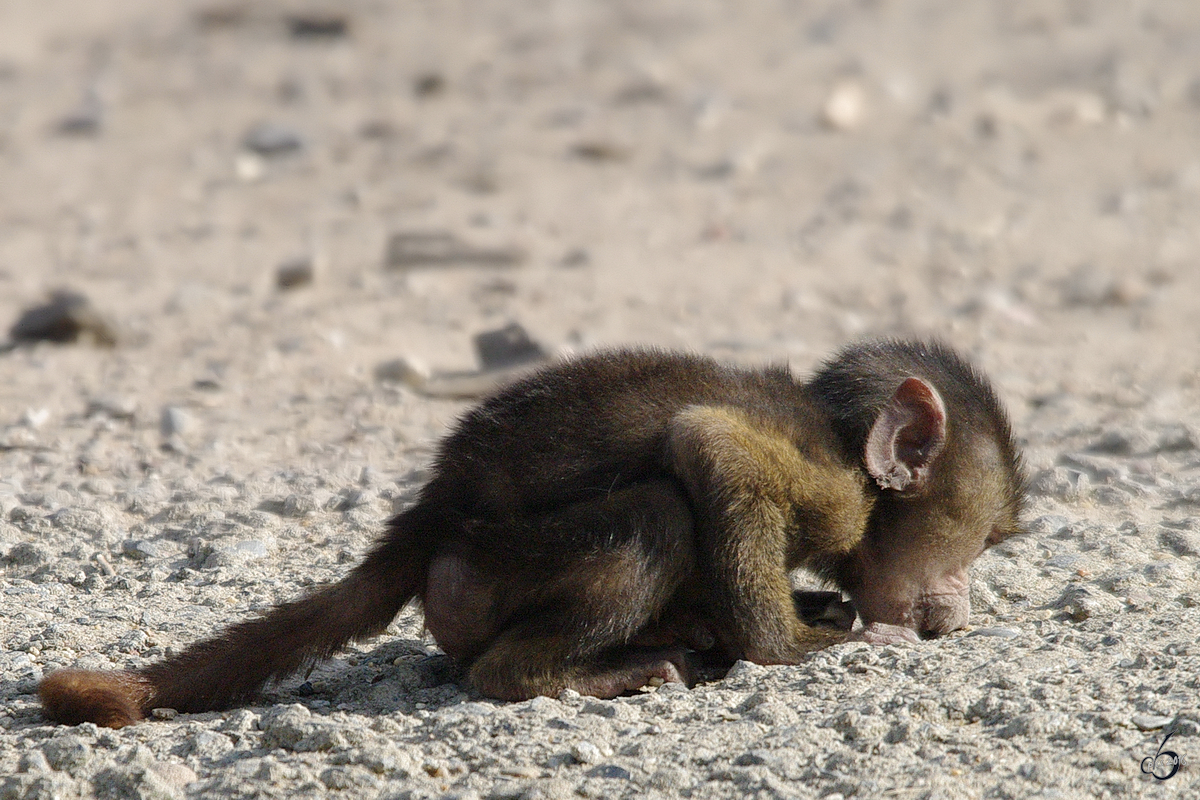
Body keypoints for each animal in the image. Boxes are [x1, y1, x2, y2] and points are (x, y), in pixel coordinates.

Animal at [42, 338, 1027, 724]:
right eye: (982, 543)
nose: (963, 600)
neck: (846, 446)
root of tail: (432, 511)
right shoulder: (831, 487)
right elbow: (709, 449)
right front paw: (798, 645)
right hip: (489, 572)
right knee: (657, 514)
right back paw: (577, 672)